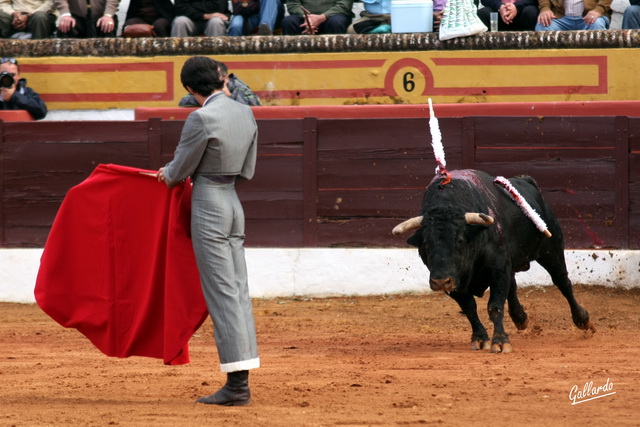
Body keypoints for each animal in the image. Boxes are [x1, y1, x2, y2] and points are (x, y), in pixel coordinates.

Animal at [392, 171, 596, 354]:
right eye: (425, 244)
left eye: (460, 240)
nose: (440, 282)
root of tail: (526, 181)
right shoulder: (457, 281)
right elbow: (469, 308)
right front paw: (480, 338)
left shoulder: (498, 270)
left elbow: (495, 306)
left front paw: (500, 342)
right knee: (513, 286)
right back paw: (520, 318)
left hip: (551, 249)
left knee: (562, 282)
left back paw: (582, 320)